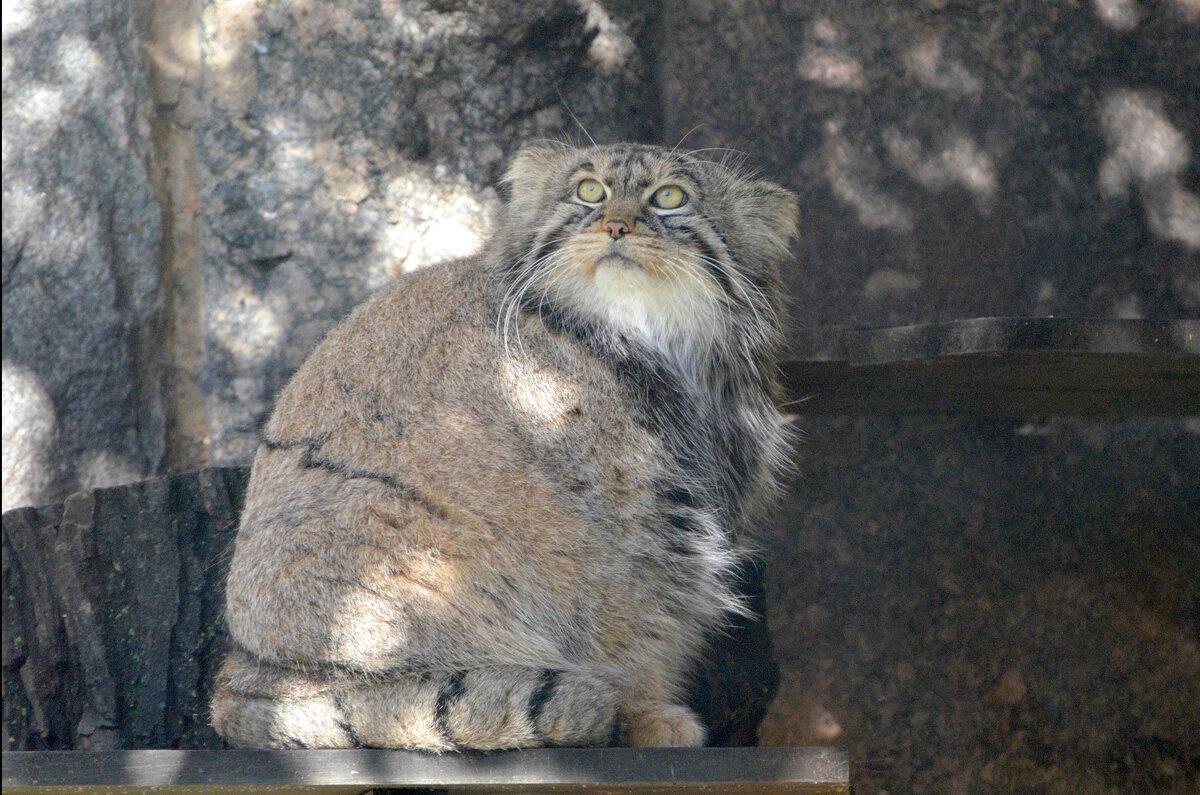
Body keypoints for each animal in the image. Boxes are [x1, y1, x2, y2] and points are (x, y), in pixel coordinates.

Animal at [212, 144, 796, 754]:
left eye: (670, 197)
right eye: (589, 191)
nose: (615, 226)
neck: (647, 337)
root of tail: (238, 678)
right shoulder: (625, 528)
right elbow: (634, 624)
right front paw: (648, 717)